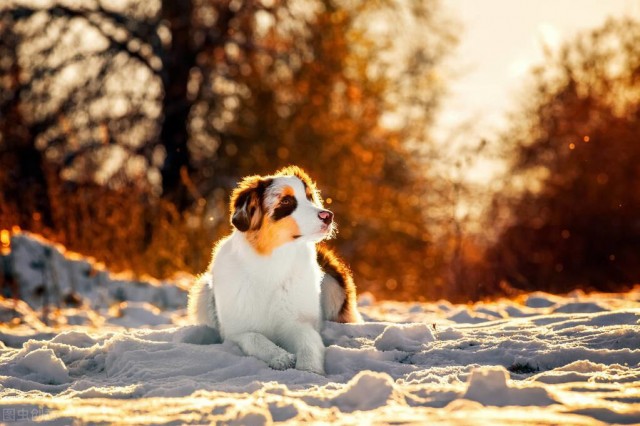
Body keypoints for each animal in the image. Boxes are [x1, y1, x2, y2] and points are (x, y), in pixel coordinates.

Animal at [188, 166, 362, 372]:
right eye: (286, 201)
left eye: (309, 197)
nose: (328, 216)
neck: (273, 263)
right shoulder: (236, 330)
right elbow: (255, 338)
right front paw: (281, 357)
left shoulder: (297, 322)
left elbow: (308, 343)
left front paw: (308, 370)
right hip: (202, 291)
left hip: (333, 284)